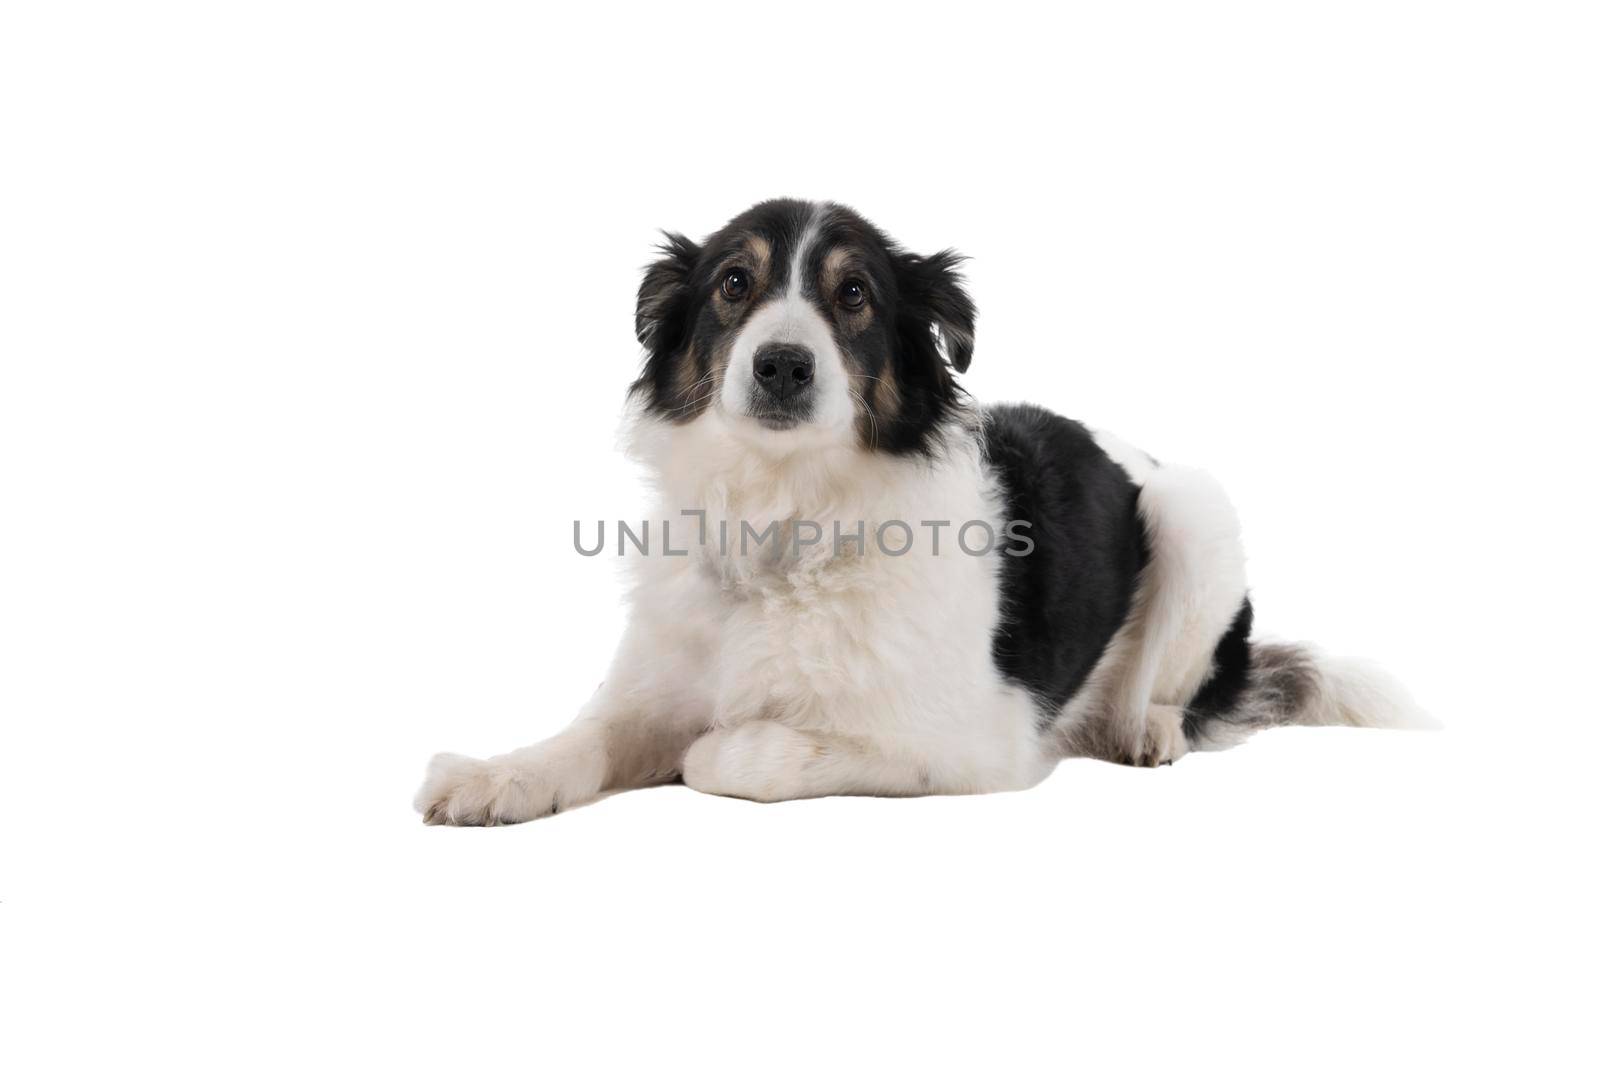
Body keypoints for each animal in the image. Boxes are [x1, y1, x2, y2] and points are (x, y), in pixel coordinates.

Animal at [412, 198, 1427, 825]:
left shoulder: (975, 742)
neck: (785, 521)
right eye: (733, 284)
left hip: (1194, 508)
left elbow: (740, 755)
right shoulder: (651, 685)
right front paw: (494, 775)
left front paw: (715, 748)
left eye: (855, 294)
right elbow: (582, 737)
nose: (782, 364)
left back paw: (1150, 726)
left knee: (1184, 685)